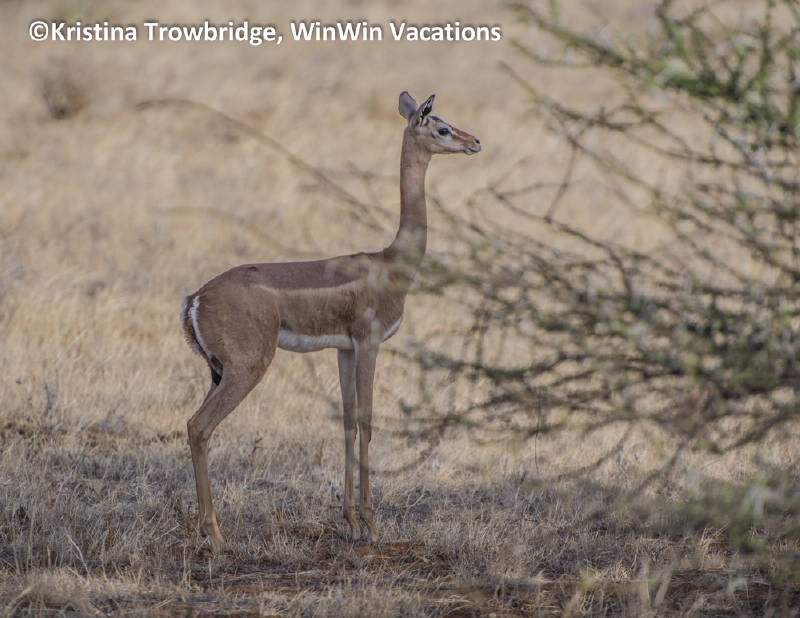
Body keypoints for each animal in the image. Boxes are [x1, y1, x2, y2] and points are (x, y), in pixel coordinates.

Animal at [180, 91, 481, 552]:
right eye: (442, 127)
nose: (474, 142)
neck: (391, 264)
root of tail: (194, 300)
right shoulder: (370, 343)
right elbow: (369, 421)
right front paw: (372, 526)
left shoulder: (343, 349)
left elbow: (347, 421)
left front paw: (350, 522)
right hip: (247, 368)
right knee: (199, 427)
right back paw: (215, 535)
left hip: (219, 372)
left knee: (193, 425)